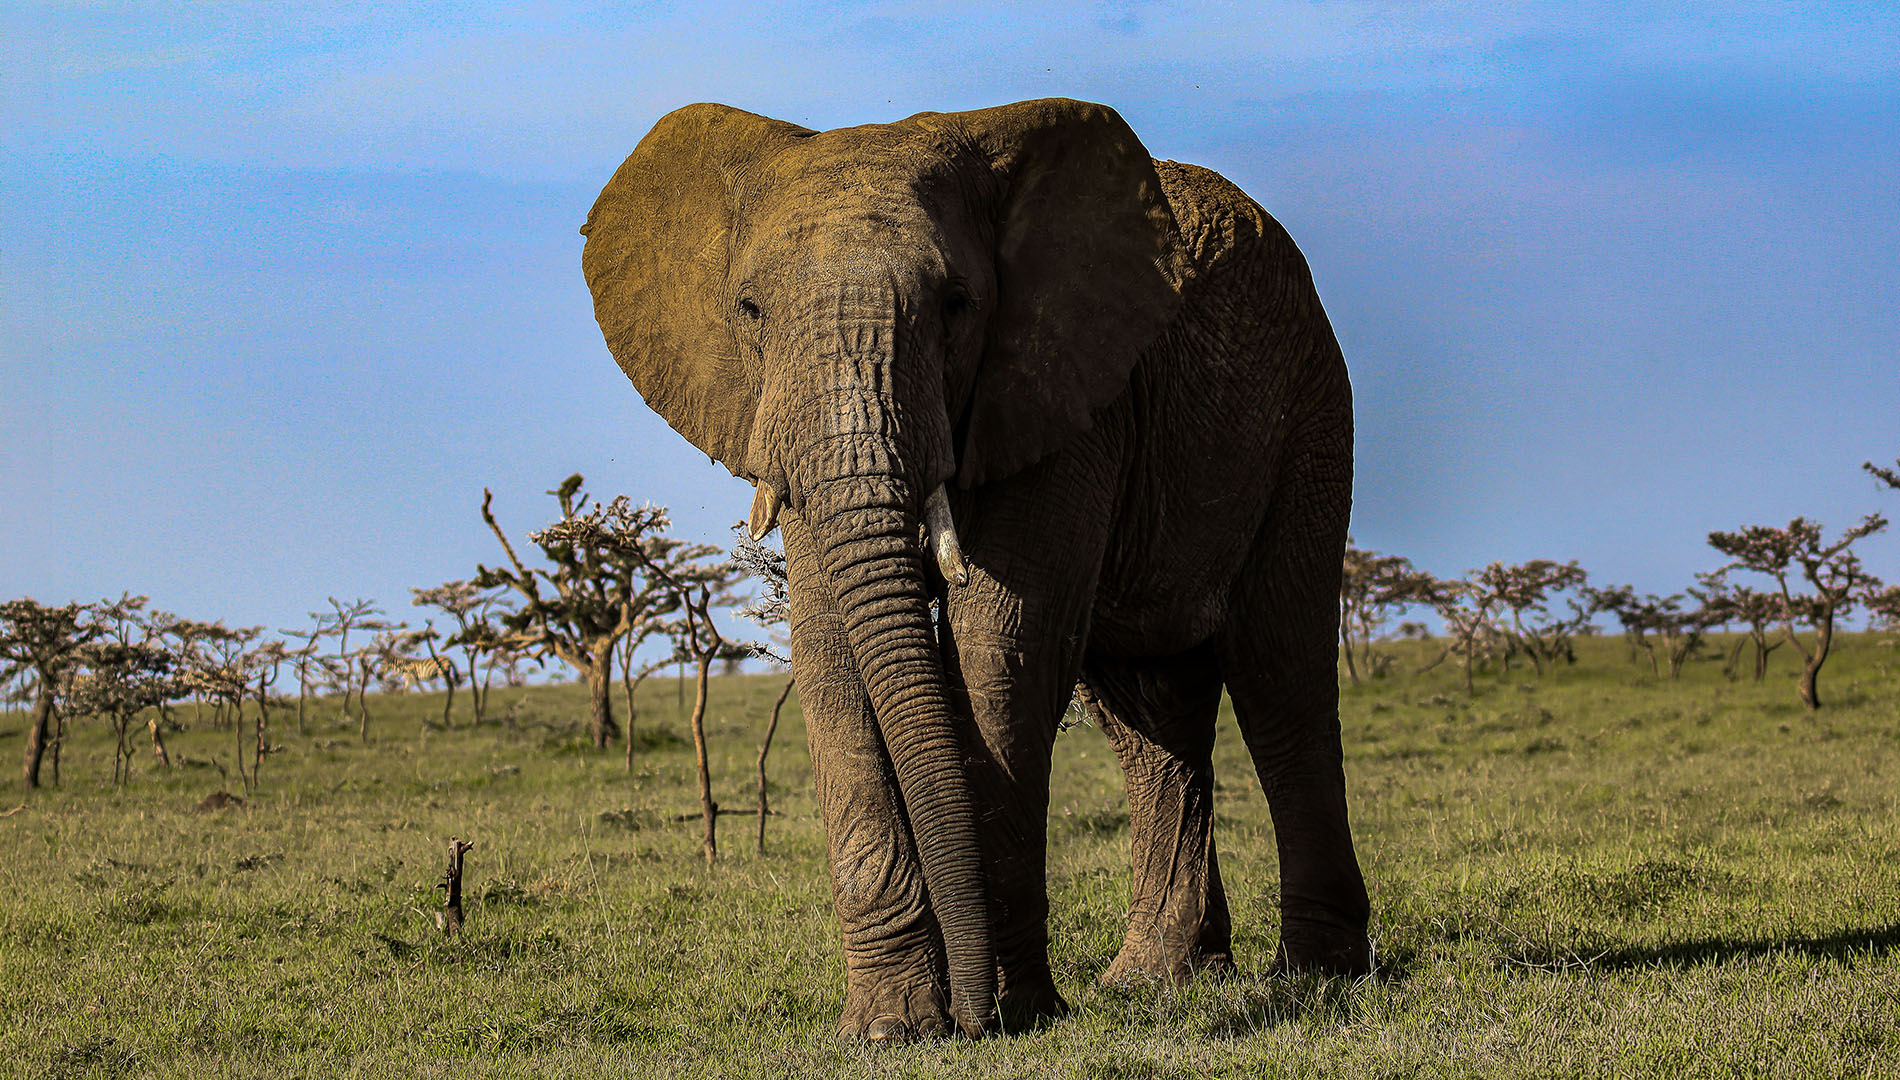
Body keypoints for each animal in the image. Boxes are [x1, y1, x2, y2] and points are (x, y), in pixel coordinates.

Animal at [581, 98, 1371, 1040]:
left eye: (957, 306)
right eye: (749, 309)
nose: (964, 1016)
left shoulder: (1062, 387)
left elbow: (1002, 640)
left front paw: (1011, 1012)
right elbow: (830, 649)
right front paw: (890, 1029)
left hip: (1310, 412)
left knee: (1278, 673)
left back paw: (1317, 977)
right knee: (1150, 715)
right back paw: (1158, 981)